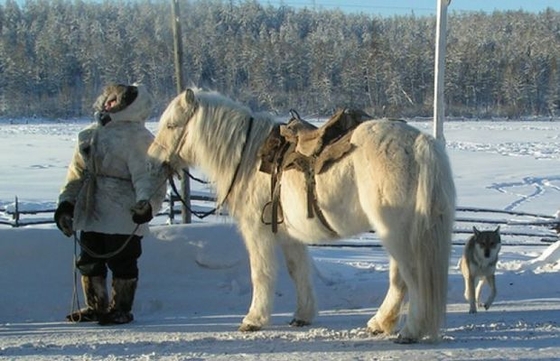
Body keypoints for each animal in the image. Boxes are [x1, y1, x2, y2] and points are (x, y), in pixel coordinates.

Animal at [142, 88, 458, 344]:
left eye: (172, 125)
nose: (152, 161)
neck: (248, 157)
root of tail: (419, 143)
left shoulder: (257, 231)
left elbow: (262, 273)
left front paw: (253, 320)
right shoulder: (288, 234)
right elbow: (298, 271)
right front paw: (302, 315)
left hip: (397, 232)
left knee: (412, 276)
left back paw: (411, 330)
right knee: (400, 279)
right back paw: (380, 323)